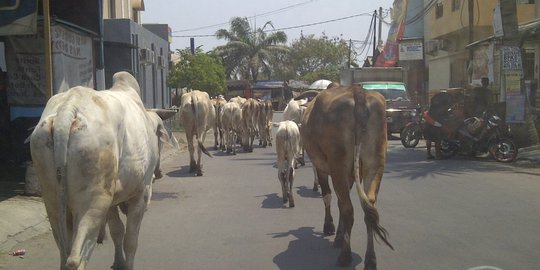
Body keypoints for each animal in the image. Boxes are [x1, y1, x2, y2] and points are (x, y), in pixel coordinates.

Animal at [29, 71, 171, 270]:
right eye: (159, 138)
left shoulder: (112, 203)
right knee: (76, 257)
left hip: (53, 201)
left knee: (64, 253)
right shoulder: (140, 194)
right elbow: (130, 241)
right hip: (94, 200)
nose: (159, 173)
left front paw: (118, 262)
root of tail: (68, 107)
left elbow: (117, 231)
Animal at [304, 84, 392, 268]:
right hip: (375, 163)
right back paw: (370, 260)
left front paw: (329, 227)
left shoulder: (322, 167)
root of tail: (358, 92)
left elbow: (328, 196)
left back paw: (345, 255)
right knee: (369, 209)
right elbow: (338, 201)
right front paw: (338, 235)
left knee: (348, 209)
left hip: (339, 165)